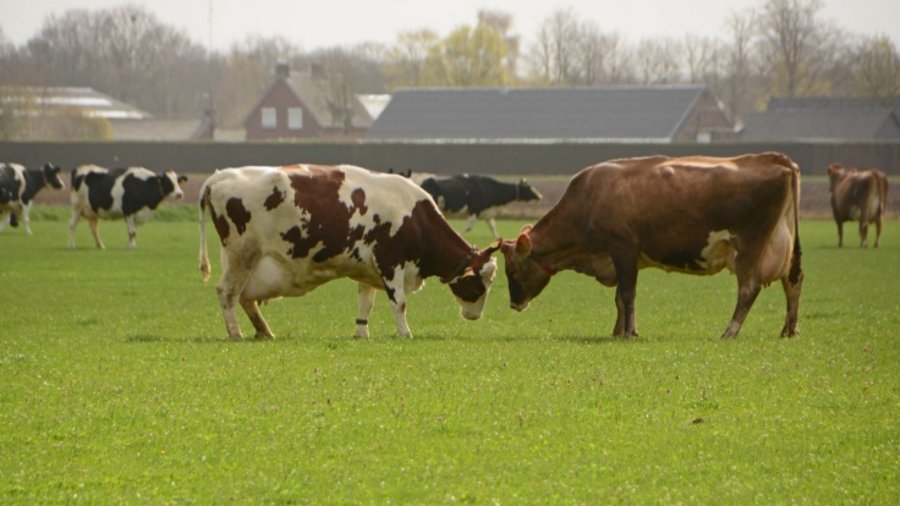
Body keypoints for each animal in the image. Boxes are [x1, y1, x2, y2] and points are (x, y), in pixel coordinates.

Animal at [198, 165, 502, 340]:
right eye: (480, 282)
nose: (475, 315)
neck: (415, 217)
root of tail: (221, 174)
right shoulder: (390, 262)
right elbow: (399, 303)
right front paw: (405, 333)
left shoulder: (369, 268)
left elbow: (366, 303)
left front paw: (361, 332)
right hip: (242, 255)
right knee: (227, 293)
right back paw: (236, 333)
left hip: (249, 261)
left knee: (244, 297)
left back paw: (264, 331)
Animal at [502, 152, 804, 338]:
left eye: (512, 271)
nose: (514, 304)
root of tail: (776, 159)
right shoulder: (624, 257)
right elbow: (619, 298)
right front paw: (618, 330)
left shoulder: (622, 247)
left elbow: (627, 294)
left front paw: (629, 332)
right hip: (784, 247)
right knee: (793, 281)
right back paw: (789, 329)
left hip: (749, 246)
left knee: (749, 288)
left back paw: (730, 331)